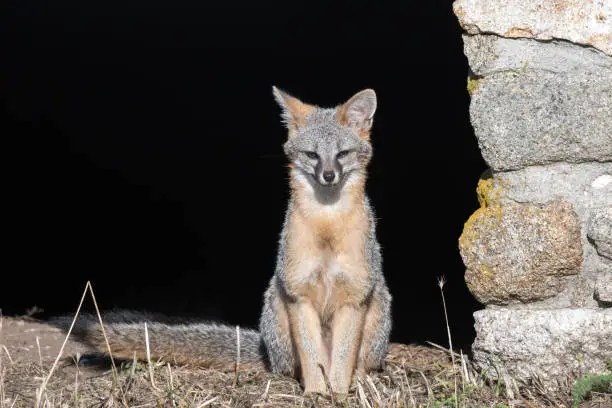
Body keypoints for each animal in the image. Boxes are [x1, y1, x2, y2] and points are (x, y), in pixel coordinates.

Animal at [51, 87, 392, 396]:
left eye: (342, 154)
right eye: (312, 155)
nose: (328, 175)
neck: (327, 228)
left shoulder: (355, 294)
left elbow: (342, 360)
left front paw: (338, 392)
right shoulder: (297, 293)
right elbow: (312, 358)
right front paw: (316, 393)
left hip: (377, 305)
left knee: (362, 362)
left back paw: (360, 379)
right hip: (277, 303)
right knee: (289, 367)